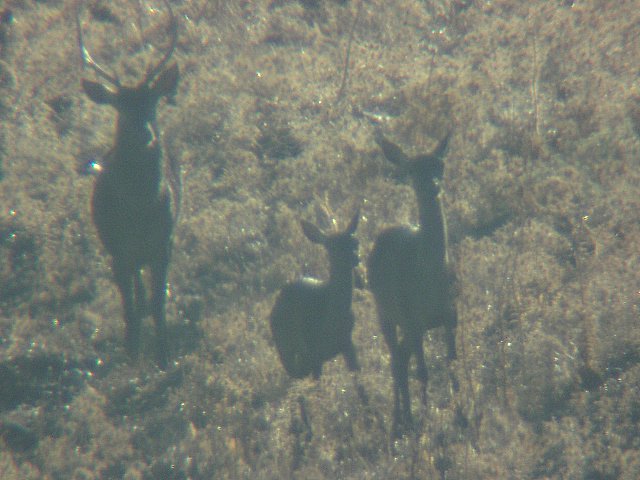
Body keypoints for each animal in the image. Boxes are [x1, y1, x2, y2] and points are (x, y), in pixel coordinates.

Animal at [79, 0, 182, 370]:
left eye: (152, 102)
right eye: (120, 107)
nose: (144, 133)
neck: (138, 208)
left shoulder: (163, 242)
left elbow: (158, 303)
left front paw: (165, 358)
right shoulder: (117, 249)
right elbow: (129, 308)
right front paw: (133, 356)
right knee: (134, 293)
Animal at [268, 212, 360, 380]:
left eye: (355, 242)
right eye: (332, 248)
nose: (356, 258)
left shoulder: (347, 342)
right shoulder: (312, 352)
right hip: (287, 349)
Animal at [368, 132, 458, 438]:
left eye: (439, 164)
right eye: (411, 170)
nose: (432, 187)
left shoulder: (450, 314)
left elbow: (451, 361)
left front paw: (462, 414)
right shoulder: (411, 318)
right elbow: (423, 372)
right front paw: (427, 423)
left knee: (402, 357)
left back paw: (404, 418)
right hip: (385, 313)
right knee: (396, 361)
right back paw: (401, 420)